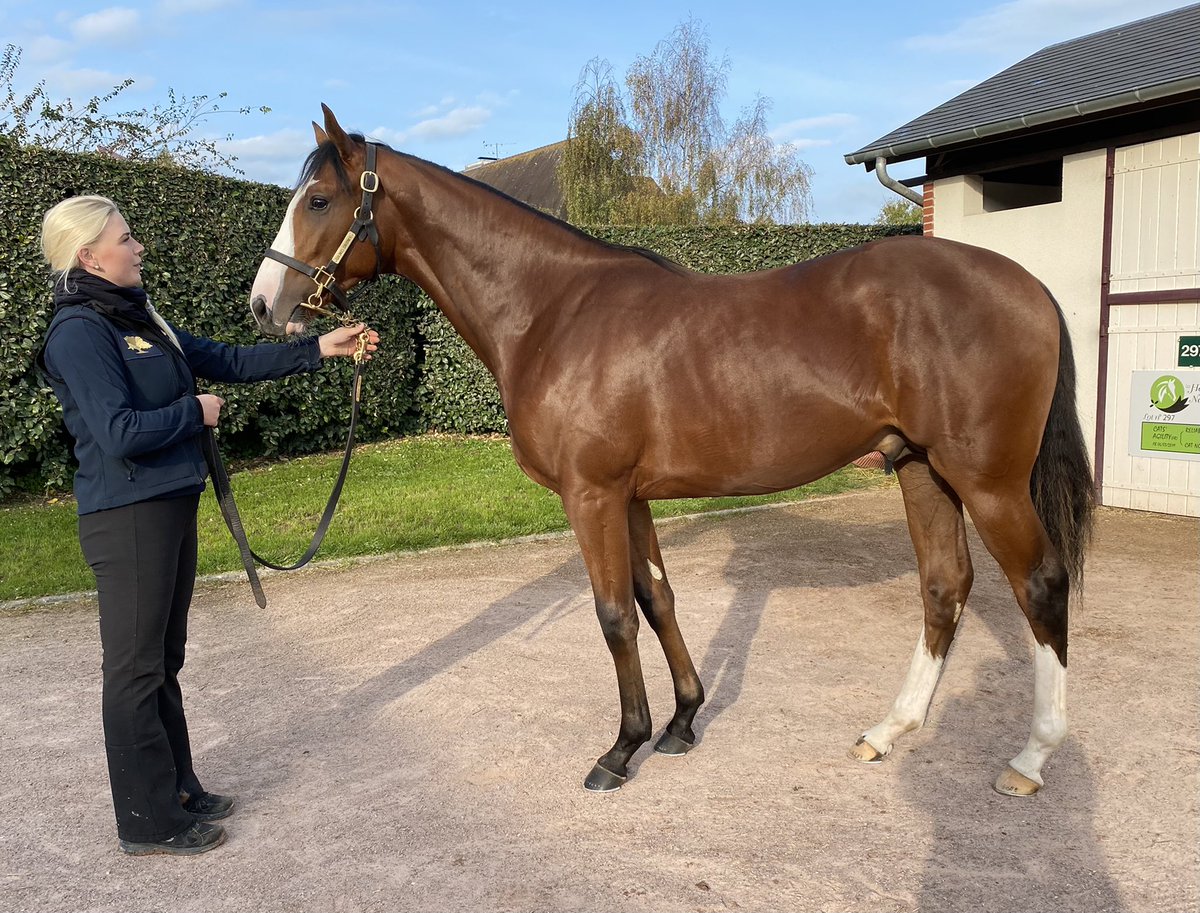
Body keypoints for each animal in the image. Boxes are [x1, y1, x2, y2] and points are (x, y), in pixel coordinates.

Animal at [250, 106, 1094, 797]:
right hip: (921, 468)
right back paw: (888, 731)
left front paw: (621, 749)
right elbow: (658, 600)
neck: (554, 311)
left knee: (1040, 583)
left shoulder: (591, 493)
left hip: (987, 481)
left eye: (318, 200)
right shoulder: (629, 495)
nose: (264, 304)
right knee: (944, 586)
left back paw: (1030, 757)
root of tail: (1027, 285)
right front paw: (683, 721)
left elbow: (614, 615)